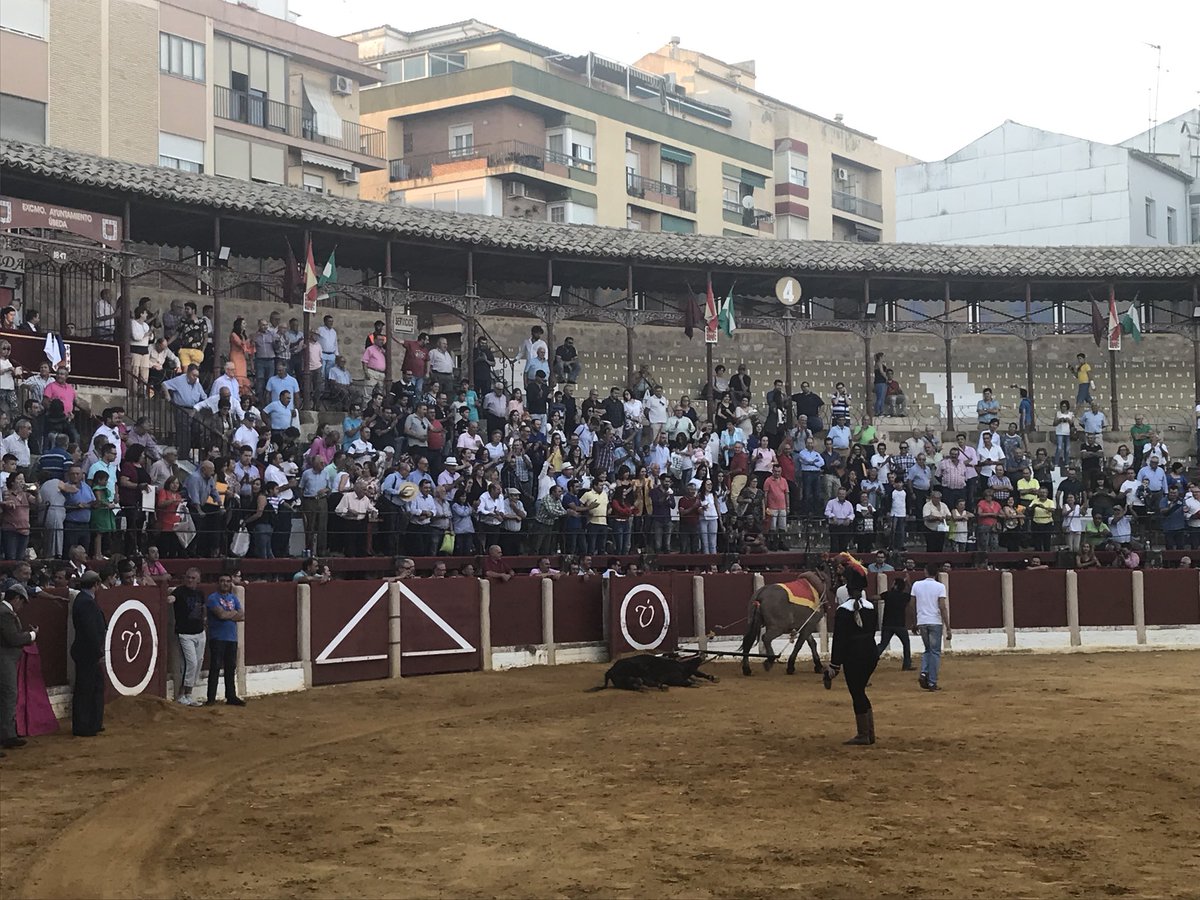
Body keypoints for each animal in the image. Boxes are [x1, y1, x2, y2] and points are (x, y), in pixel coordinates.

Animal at [588, 654, 720, 692]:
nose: (701, 656)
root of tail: (610, 670)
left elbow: (697, 675)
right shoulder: (675, 678)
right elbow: (686, 681)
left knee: (637, 683)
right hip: (632, 674)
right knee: (638, 683)